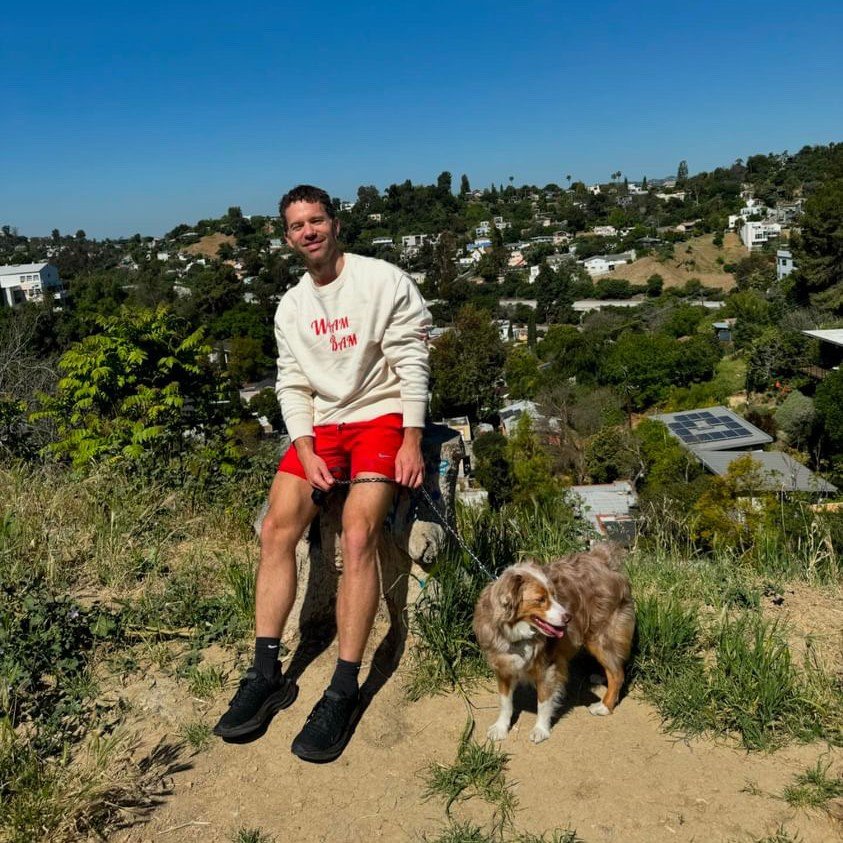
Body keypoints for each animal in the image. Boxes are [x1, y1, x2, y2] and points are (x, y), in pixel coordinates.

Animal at [474, 540, 632, 744]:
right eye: (540, 599)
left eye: (554, 595)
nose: (568, 617)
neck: (518, 633)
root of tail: (602, 559)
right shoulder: (503, 666)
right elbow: (505, 702)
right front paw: (501, 727)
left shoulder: (547, 667)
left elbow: (543, 702)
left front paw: (541, 730)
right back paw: (599, 677)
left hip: (600, 636)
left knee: (617, 673)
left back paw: (605, 706)